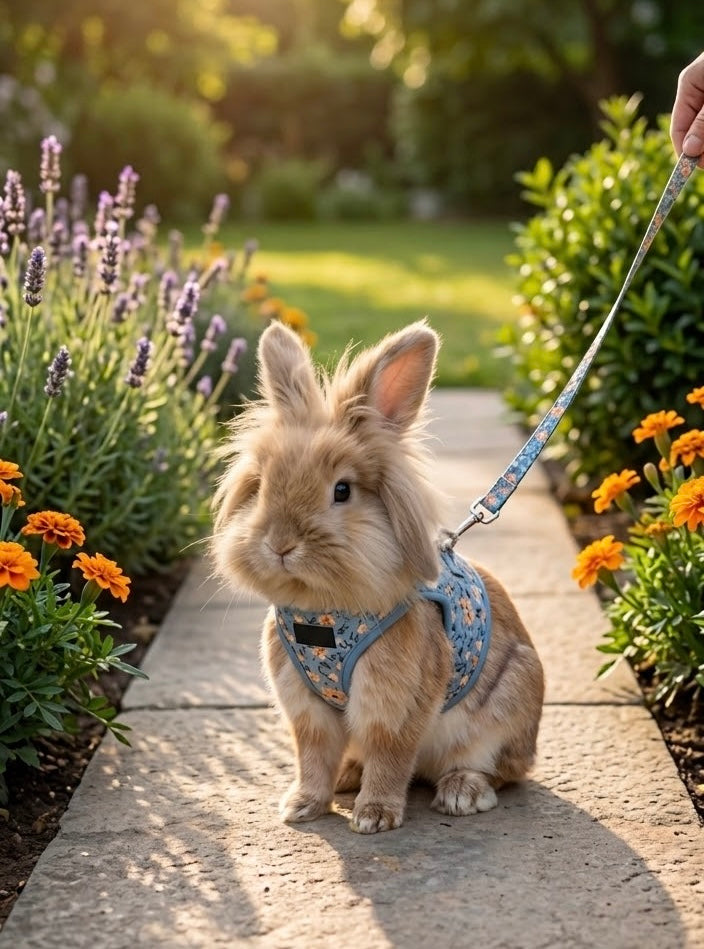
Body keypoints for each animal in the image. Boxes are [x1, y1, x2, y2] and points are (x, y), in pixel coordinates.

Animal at [212, 319, 544, 834]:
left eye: (342, 490)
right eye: (263, 484)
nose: (280, 544)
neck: (325, 613)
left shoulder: (394, 703)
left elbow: (389, 754)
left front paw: (374, 817)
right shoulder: (306, 708)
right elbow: (312, 756)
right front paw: (301, 806)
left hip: (504, 709)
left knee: (498, 770)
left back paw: (461, 792)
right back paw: (348, 775)